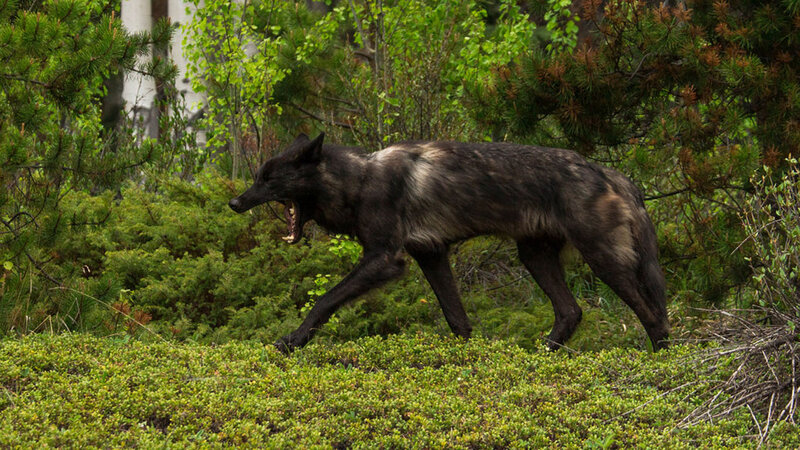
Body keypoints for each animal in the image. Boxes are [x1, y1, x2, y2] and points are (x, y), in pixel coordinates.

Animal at [229, 133, 670, 353]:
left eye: (268, 179)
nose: (234, 203)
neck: (361, 180)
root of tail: (610, 173)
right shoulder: (431, 254)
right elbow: (457, 319)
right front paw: (470, 359)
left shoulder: (385, 259)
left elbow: (324, 300)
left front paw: (293, 341)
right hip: (534, 256)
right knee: (571, 312)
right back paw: (539, 357)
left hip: (603, 260)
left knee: (652, 313)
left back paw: (661, 359)